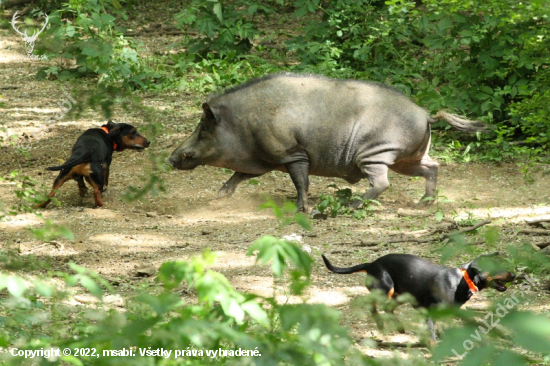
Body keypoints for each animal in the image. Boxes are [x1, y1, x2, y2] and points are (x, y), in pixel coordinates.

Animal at [324, 252, 516, 340]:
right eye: (496, 267)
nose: (514, 275)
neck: (462, 281)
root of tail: (371, 264)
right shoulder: (430, 312)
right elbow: (432, 335)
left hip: (401, 296)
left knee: (387, 309)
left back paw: (399, 328)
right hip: (385, 290)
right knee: (372, 305)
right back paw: (380, 324)